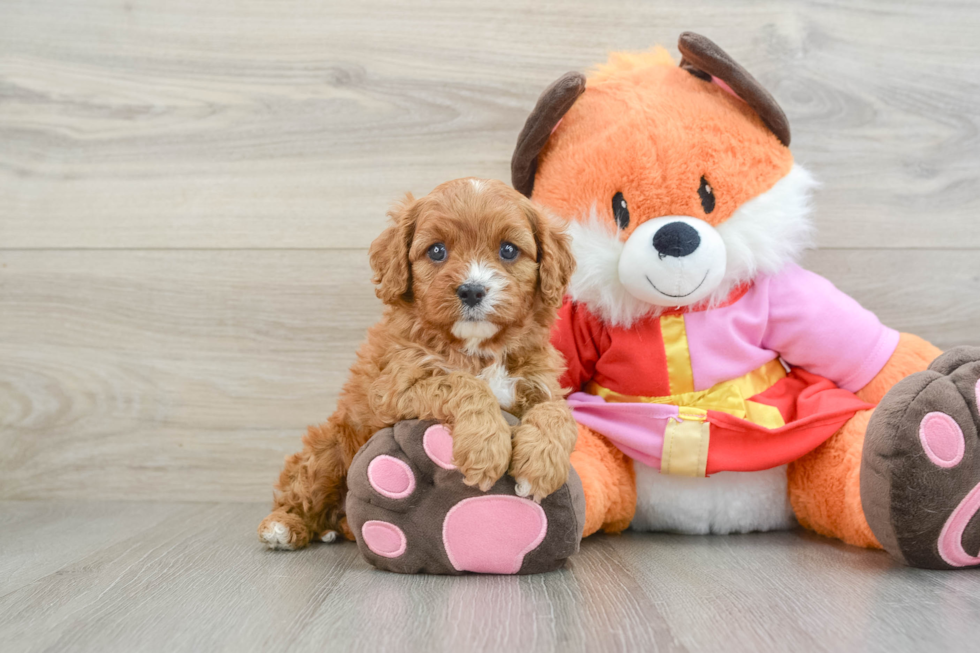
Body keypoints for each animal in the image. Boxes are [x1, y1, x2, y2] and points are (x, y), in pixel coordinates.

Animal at [260, 176, 580, 548]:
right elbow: (462, 384)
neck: (478, 348)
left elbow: (557, 413)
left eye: (509, 250)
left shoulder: (541, 383)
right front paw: (486, 448)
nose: (472, 290)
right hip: (329, 447)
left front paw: (541, 464)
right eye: (437, 251)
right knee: (300, 485)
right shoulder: (394, 389)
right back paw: (284, 525)